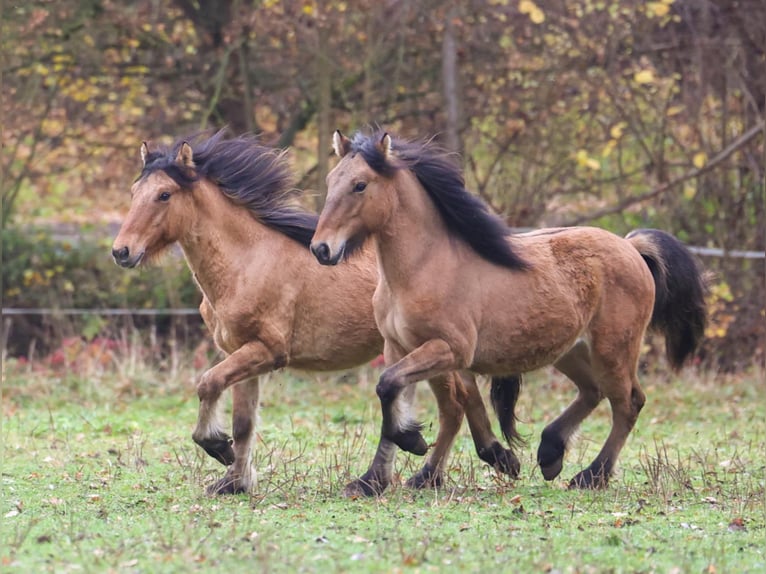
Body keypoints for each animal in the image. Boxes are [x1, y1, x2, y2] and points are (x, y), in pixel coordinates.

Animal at [111, 130, 518, 496]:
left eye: (164, 194)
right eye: (134, 192)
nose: (121, 251)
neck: (247, 262)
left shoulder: (266, 351)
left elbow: (208, 383)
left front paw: (218, 449)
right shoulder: (240, 352)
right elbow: (243, 421)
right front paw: (234, 482)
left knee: (452, 406)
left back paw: (421, 471)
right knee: (465, 397)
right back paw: (494, 456)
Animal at [311, 129, 707, 493]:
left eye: (360, 185)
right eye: (331, 181)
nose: (321, 249)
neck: (423, 267)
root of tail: (631, 247)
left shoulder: (449, 349)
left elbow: (395, 388)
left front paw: (415, 445)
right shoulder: (401, 348)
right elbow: (404, 398)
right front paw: (375, 480)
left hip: (613, 350)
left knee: (628, 403)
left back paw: (591, 475)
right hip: (570, 351)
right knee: (593, 392)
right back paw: (550, 453)